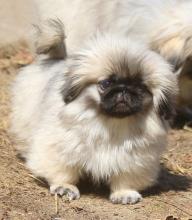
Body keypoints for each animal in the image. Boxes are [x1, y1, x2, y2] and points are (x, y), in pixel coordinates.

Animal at [9, 19, 177, 204]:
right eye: (106, 83)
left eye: (141, 88)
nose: (124, 89)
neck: (112, 124)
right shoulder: (60, 147)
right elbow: (63, 172)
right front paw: (65, 187)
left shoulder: (134, 159)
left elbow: (125, 178)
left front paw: (124, 193)